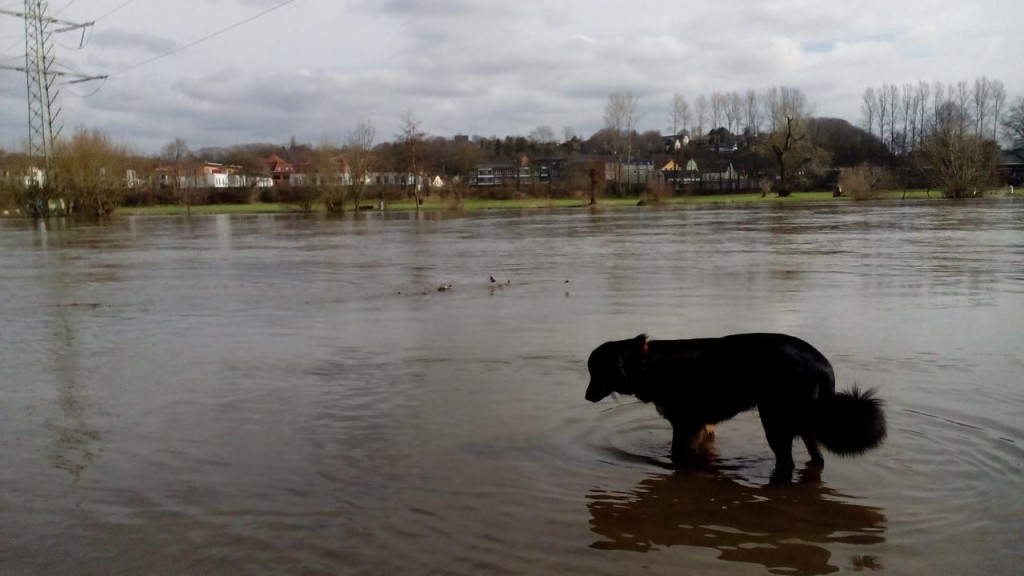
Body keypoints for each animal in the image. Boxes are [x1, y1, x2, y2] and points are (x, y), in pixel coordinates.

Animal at [589, 334, 884, 473]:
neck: (647, 363)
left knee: (787, 463)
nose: (586, 396)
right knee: (817, 458)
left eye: (597, 371)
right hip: (804, 423)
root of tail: (823, 365)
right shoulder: (702, 425)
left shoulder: (685, 424)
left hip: (775, 421)